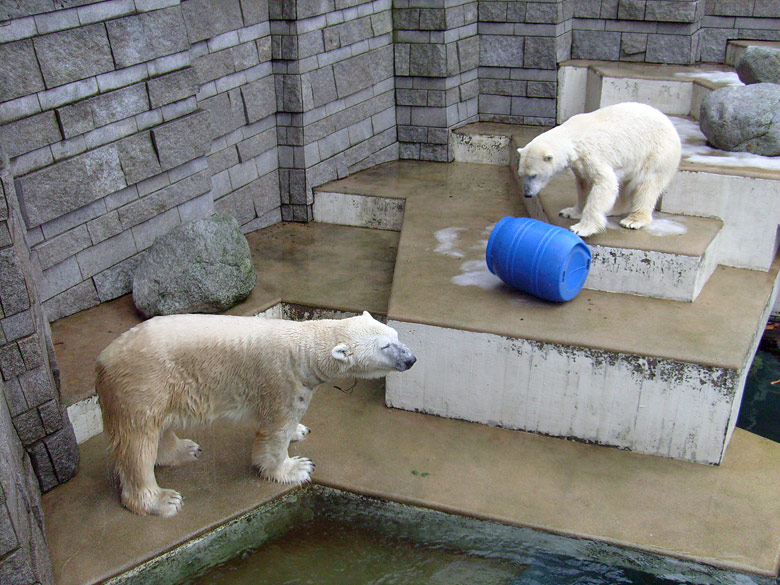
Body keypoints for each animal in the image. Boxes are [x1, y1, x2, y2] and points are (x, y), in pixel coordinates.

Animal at [95, 310, 418, 516]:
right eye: (385, 345)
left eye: (396, 333)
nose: (412, 358)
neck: (302, 349)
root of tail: (103, 360)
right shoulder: (282, 382)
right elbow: (275, 431)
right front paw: (296, 467)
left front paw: (300, 431)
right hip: (143, 384)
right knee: (137, 443)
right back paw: (162, 500)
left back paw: (184, 450)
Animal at [520, 102, 680, 237]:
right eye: (521, 174)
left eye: (533, 175)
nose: (527, 194)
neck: (572, 138)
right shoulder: (579, 163)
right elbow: (584, 185)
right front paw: (571, 212)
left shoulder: (593, 155)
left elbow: (605, 183)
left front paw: (581, 228)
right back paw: (612, 210)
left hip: (656, 154)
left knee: (647, 185)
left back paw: (633, 220)